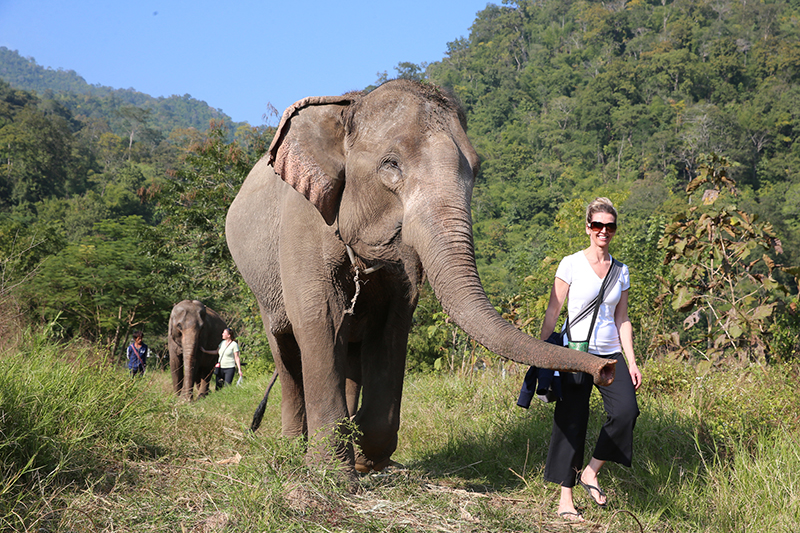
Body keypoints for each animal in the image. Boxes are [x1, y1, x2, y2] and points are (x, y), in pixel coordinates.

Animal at [225, 80, 620, 478]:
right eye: (391, 165)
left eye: (476, 168)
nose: (608, 369)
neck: (350, 107)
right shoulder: (302, 222)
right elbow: (320, 318)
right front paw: (332, 475)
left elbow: (394, 324)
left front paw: (368, 458)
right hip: (260, 284)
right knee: (286, 352)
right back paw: (292, 449)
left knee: (349, 355)